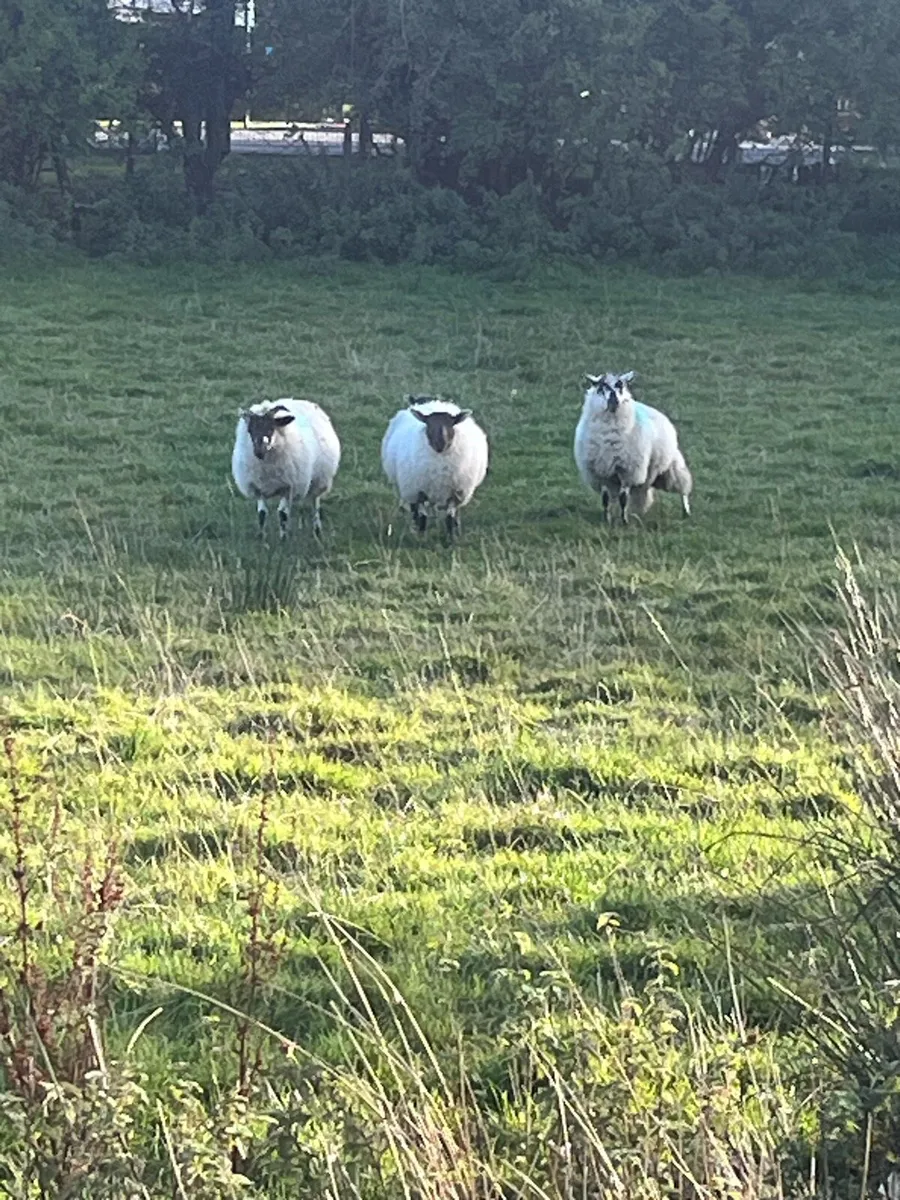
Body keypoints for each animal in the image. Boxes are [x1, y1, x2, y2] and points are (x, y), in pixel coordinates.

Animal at [231, 398, 341, 538]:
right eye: (250, 430)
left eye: (271, 428)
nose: (259, 452)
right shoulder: (258, 488)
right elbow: (262, 514)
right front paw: (262, 539)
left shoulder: (288, 487)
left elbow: (282, 514)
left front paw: (283, 539)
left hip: (320, 479)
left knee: (314, 503)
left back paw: (317, 531)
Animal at [381, 396, 489, 540]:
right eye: (428, 424)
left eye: (452, 424)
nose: (440, 444)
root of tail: (431, 401)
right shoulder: (418, 491)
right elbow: (423, 517)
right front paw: (421, 537)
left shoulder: (455, 492)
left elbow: (449, 517)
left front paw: (451, 539)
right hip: (409, 488)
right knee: (414, 509)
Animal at [574, 371, 692, 524]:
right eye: (602, 387)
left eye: (621, 386)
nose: (614, 401)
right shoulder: (601, 473)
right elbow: (605, 499)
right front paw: (607, 519)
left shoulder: (627, 471)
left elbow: (623, 498)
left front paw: (624, 521)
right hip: (649, 475)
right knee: (643, 491)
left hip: (670, 467)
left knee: (682, 487)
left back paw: (686, 512)